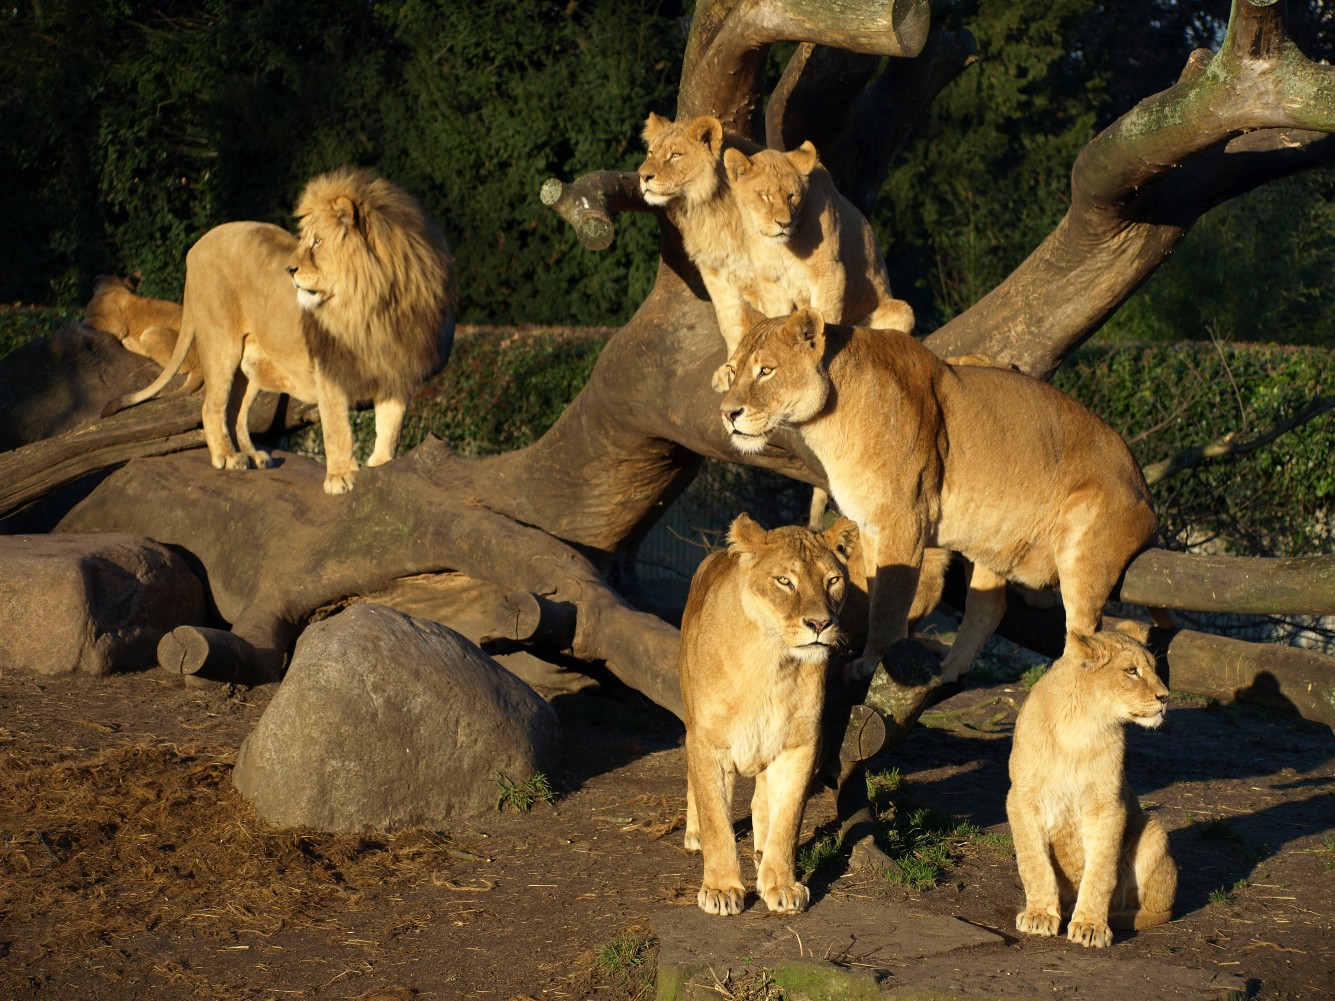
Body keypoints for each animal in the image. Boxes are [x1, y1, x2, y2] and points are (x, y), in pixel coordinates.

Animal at [108, 166, 455, 494]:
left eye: (317, 242)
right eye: (305, 240)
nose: (289, 269)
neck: (375, 306)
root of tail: (195, 249)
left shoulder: (397, 370)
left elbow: (390, 429)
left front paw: (381, 466)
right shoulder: (330, 370)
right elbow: (337, 428)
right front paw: (339, 477)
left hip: (249, 366)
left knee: (236, 412)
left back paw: (253, 456)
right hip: (221, 346)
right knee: (210, 407)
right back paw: (227, 457)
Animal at [679, 512, 858, 916]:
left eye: (833, 580)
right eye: (784, 581)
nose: (820, 624)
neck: (771, 661)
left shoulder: (800, 744)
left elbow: (788, 818)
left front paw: (781, 884)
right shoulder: (709, 741)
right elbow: (717, 819)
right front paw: (721, 889)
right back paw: (694, 833)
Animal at [718, 308, 1169, 681]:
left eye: (766, 371)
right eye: (732, 370)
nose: (728, 413)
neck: (827, 423)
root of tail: (1147, 492)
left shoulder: (904, 521)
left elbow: (889, 604)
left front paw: (871, 663)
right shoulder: (870, 525)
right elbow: (874, 590)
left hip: (1084, 549)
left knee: (1082, 634)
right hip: (991, 542)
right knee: (989, 609)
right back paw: (947, 670)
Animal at [722, 142, 914, 335]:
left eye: (792, 196)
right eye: (764, 196)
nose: (784, 223)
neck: (783, 248)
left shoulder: (829, 271)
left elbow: (825, 315)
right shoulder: (771, 280)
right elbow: (776, 317)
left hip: (903, 311)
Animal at [1008, 629, 1177, 946]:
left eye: (1154, 668)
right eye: (1131, 671)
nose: (1165, 697)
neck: (1080, 726)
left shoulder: (1108, 805)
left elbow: (1101, 870)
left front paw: (1091, 925)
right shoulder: (1022, 798)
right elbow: (1033, 862)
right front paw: (1040, 915)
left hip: (1153, 829)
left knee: (1158, 912)